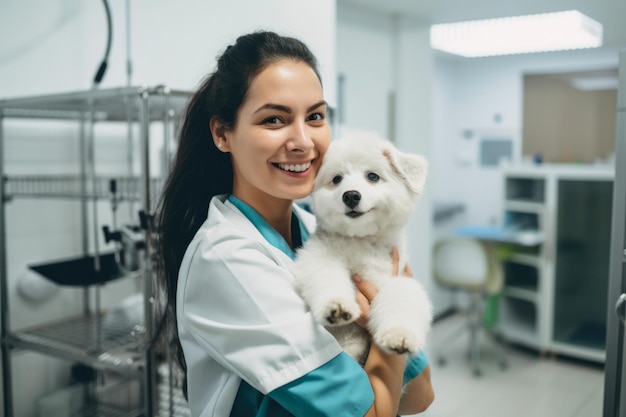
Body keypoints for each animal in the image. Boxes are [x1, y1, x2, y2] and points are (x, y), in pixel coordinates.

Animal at [292, 132, 428, 362]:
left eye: (372, 176)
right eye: (337, 179)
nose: (351, 195)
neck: (360, 239)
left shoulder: (398, 276)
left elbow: (400, 296)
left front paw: (398, 335)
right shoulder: (320, 257)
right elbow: (327, 277)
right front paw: (336, 307)